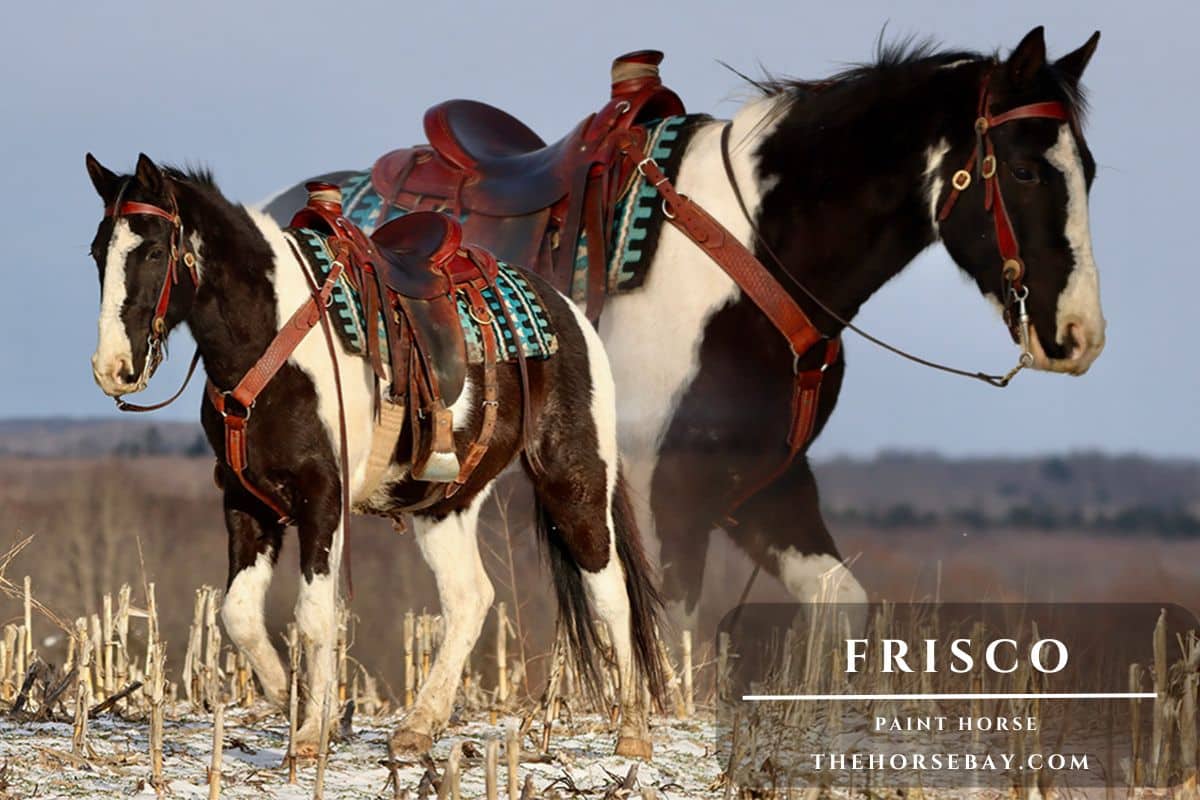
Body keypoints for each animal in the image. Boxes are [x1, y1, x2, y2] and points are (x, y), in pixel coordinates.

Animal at [84, 153, 665, 758]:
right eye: (99, 251)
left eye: (153, 251)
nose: (113, 369)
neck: (273, 342)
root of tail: (568, 311)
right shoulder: (246, 498)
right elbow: (238, 612)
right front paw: (289, 697)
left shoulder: (323, 497)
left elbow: (315, 615)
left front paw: (311, 733)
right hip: (445, 503)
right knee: (469, 597)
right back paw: (418, 725)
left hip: (574, 480)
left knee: (610, 592)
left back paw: (632, 734)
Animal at [262, 27, 1107, 629]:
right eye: (1025, 170)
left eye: (1089, 171)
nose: (1078, 335)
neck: (747, 257)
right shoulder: (664, 497)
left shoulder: (761, 488)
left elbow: (842, 607)